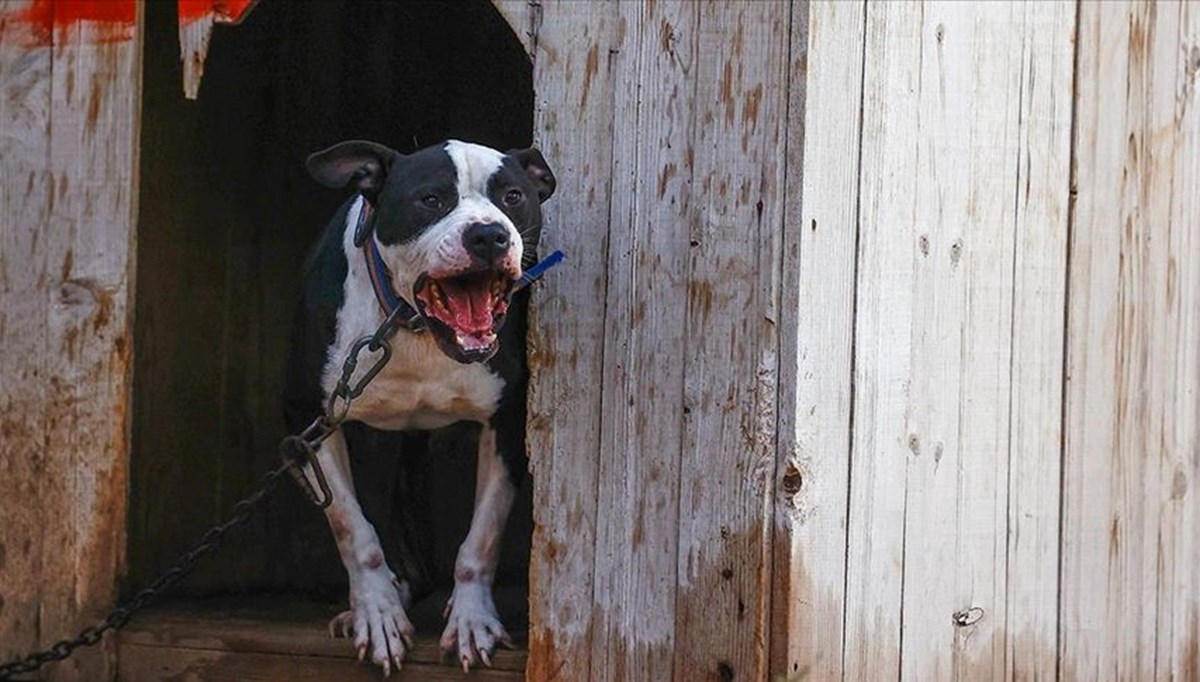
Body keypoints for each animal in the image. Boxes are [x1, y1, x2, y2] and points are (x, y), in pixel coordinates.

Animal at [283, 138, 554, 672]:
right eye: (430, 200)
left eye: (513, 196)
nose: (489, 235)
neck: (412, 327)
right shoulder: (309, 426)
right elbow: (353, 528)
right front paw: (376, 612)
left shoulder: (505, 426)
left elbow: (482, 535)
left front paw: (472, 620)